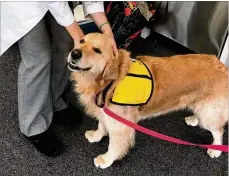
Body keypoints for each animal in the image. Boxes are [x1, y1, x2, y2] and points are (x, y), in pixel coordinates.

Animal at [67, 32, 228, 168]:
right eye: (81, 41)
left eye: (97, 50)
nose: (74, 53)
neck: (109, 83)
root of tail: (223, 66)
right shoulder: (105, 112)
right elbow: (101, 125)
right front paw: (96, 135)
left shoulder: (120, 125)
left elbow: (114, 145)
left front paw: (106, 160)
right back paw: (193, 119)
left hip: (209, 110)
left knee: (218, 130)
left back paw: (216, 150)